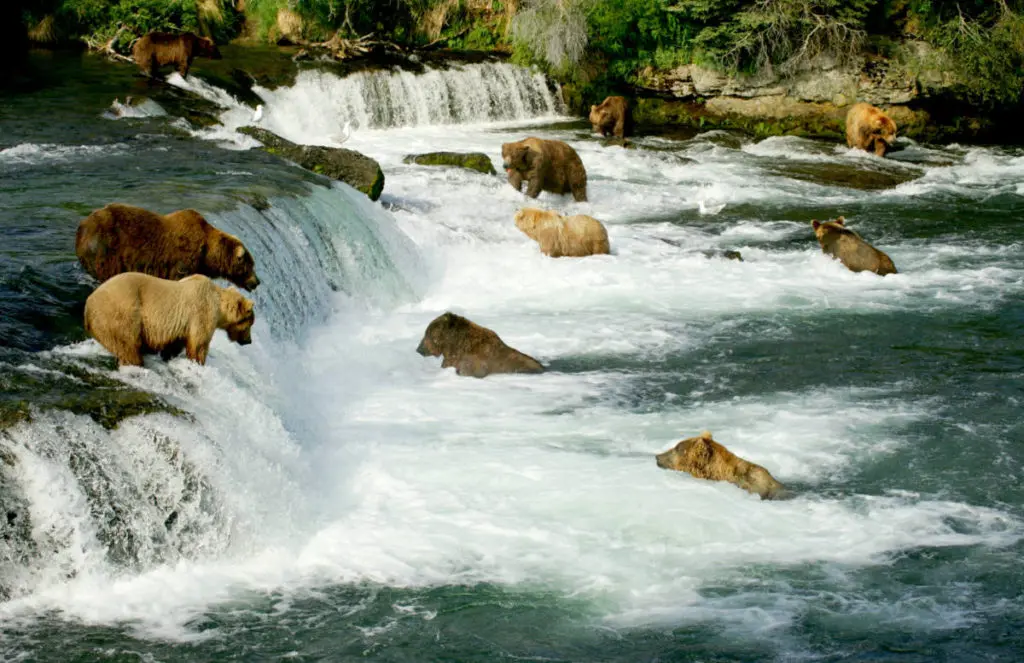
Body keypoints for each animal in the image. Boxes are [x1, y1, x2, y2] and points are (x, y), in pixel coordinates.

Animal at [76, 201, 260, 291]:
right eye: (250, 265)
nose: (257, 282)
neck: (207, 254)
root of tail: (83, 225)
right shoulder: (182, 260)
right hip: (106, 249)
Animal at [83, 274, 256, 370]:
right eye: (250, 324)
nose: (249, 341)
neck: (219, 305)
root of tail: (88, 306)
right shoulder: (201, 312)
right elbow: (199, 344)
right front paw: (198, 362)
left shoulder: (181, 325)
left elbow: (175, 343)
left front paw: (168, 355)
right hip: (121, 314)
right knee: (128, 346)